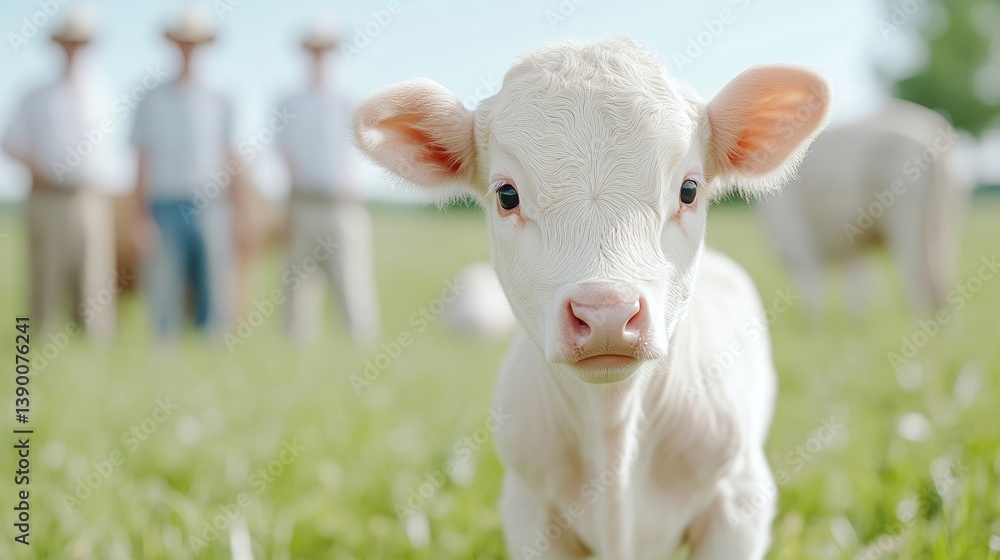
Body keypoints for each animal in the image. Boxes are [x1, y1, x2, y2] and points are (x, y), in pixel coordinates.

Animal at [757, 98, 970, 316]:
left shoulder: (797, 240)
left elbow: (815, 295)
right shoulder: (851, 248)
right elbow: (858, 294)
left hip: (907, 224)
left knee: (919, 285)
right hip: (944, 227)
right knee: (943, 286)